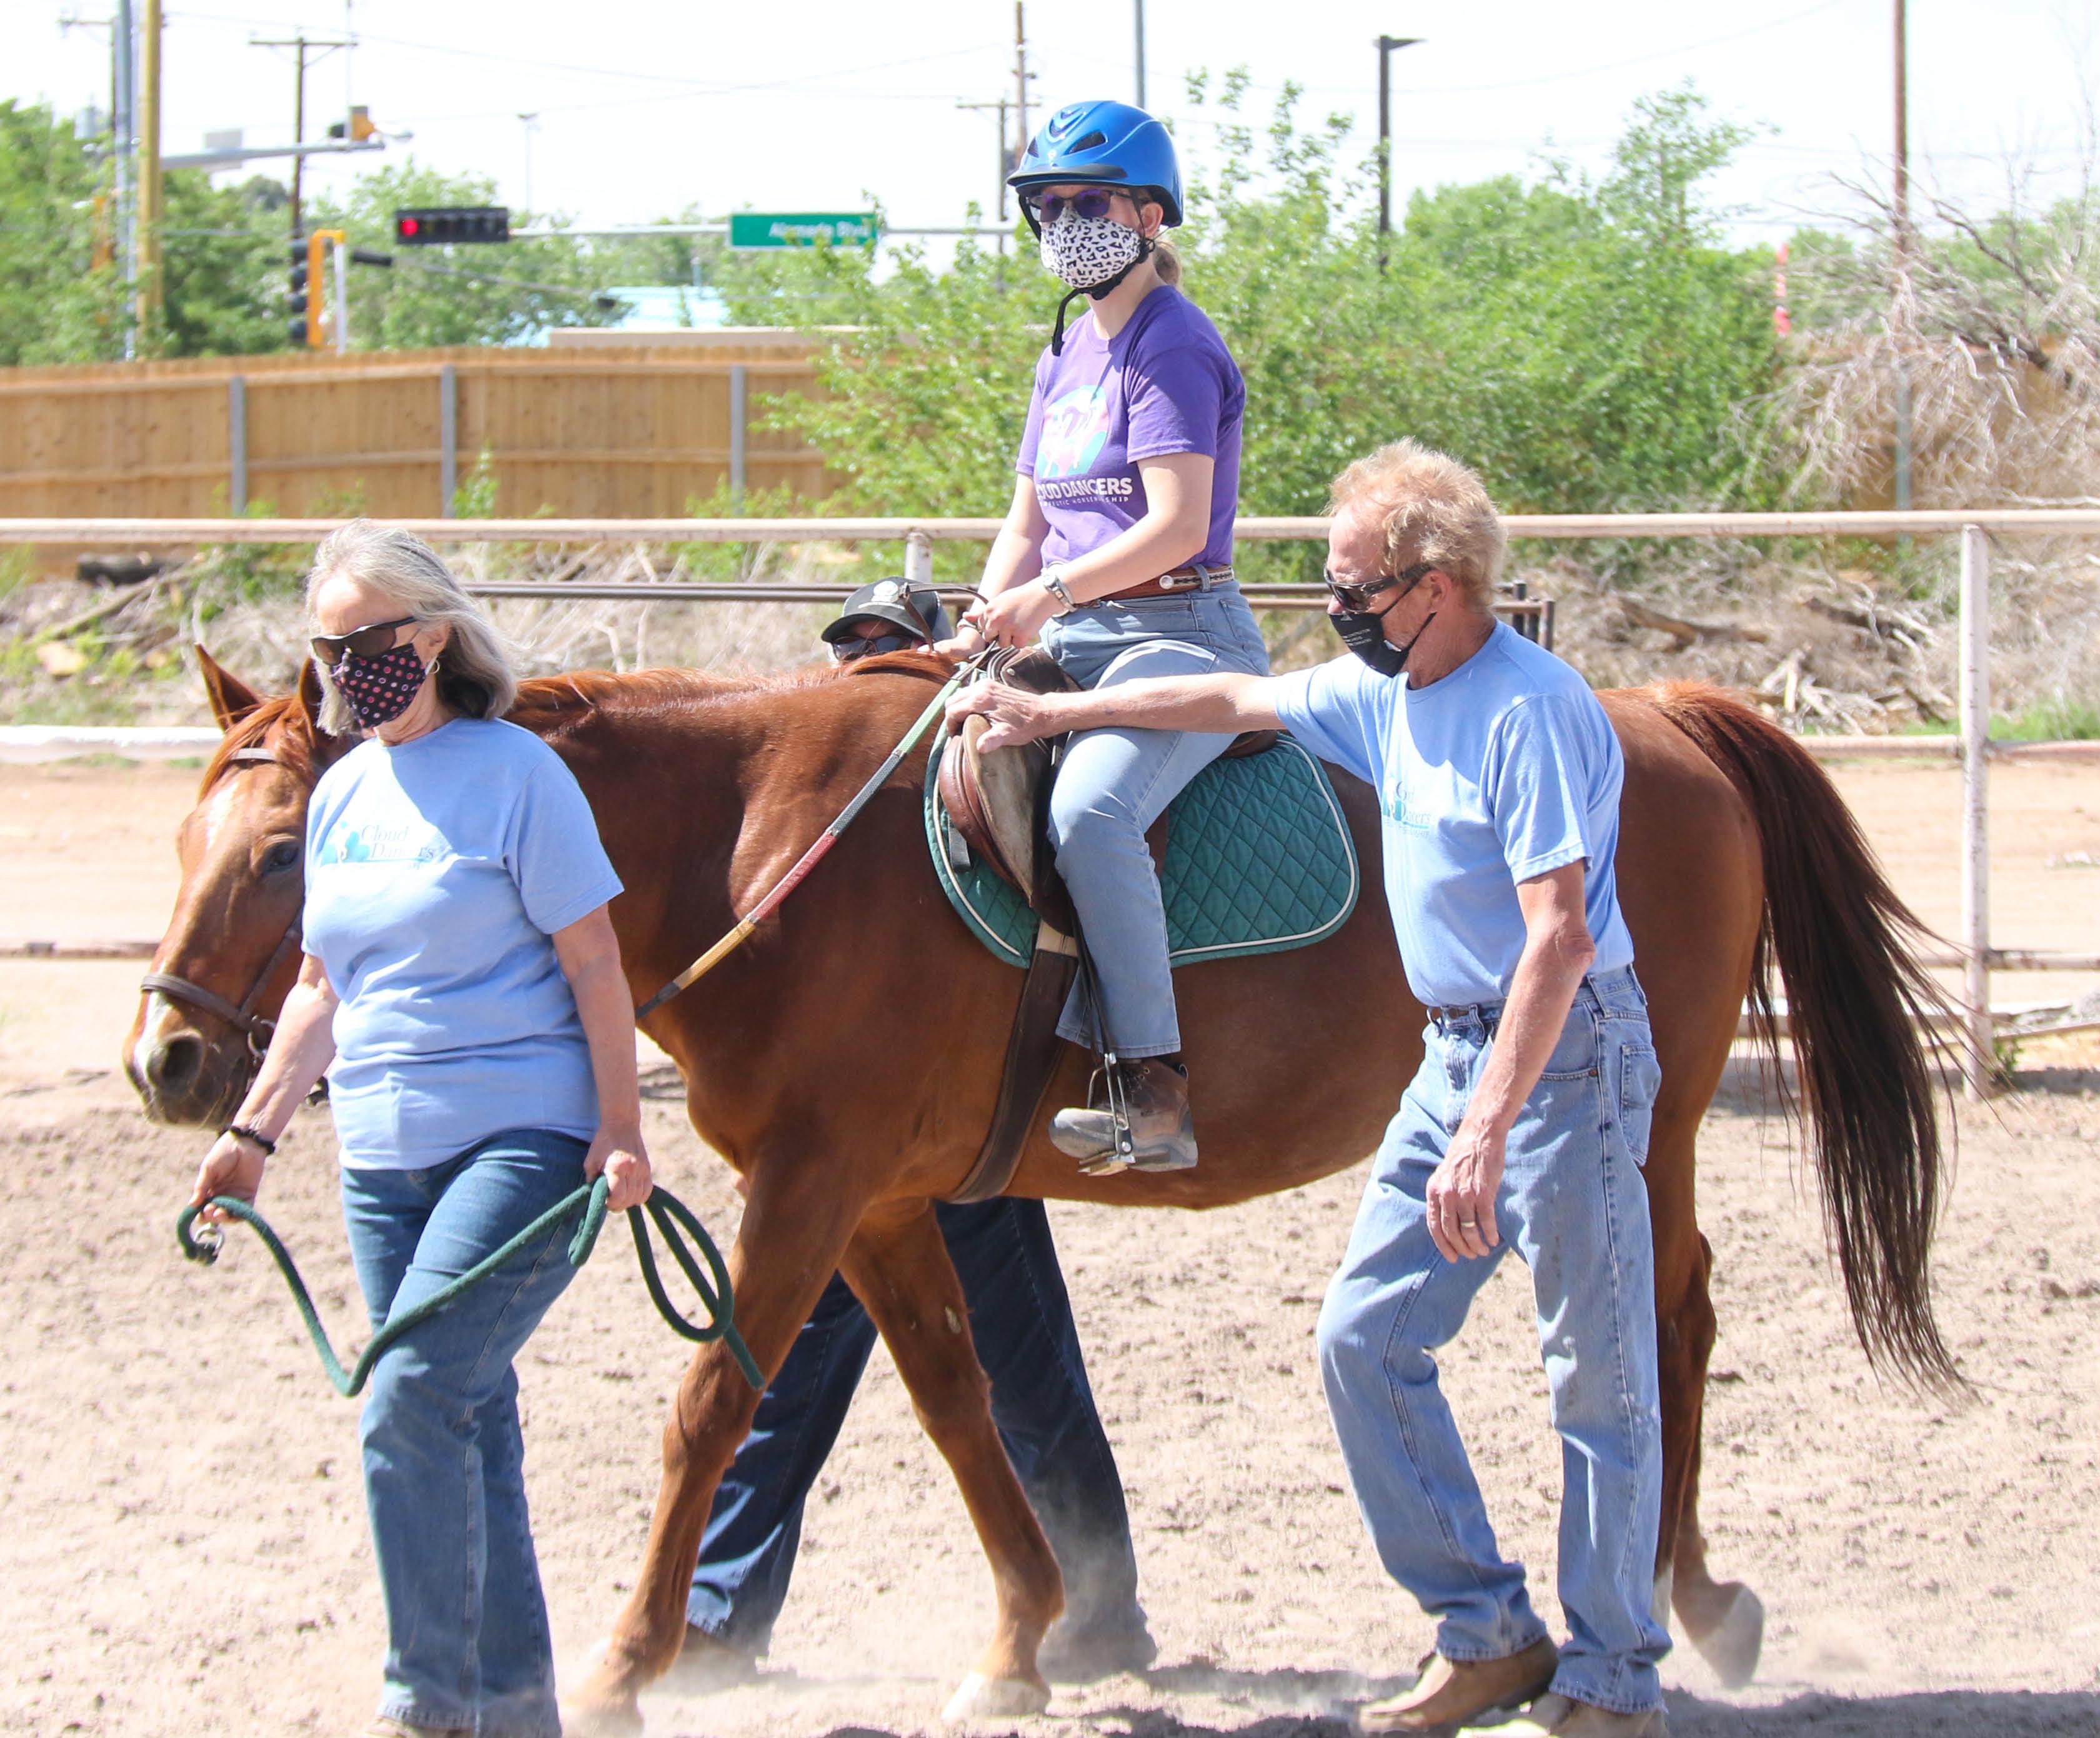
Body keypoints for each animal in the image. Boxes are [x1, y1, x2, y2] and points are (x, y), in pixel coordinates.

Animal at [127, 647, 1932, 1731]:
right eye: (186, 841)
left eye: (290, 852)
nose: (169, 1060)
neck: (755, 849)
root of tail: (1659, 715)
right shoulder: (870, 1199)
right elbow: (951, 1397)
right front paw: (1022, 1636)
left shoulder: (810, 1185)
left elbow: (711, 1405)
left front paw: (631, 1660)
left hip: (1643, 1121)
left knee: (1668, 1325)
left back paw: (1691, 1594)